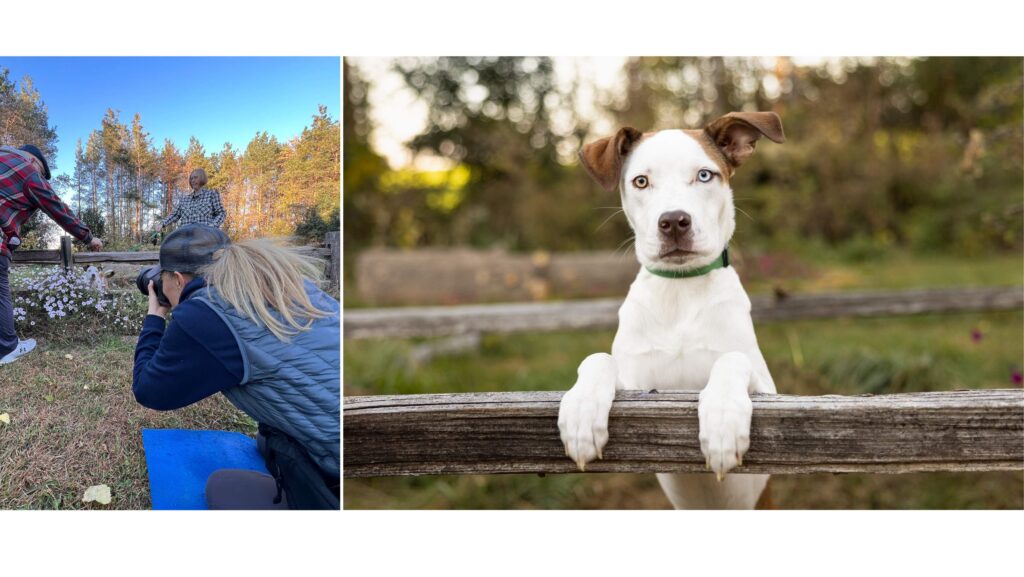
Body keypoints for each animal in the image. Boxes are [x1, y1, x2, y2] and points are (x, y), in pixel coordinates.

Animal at [561, 111, 782, 510]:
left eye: (705, 175)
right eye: (641, 181)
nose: (674, 221)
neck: (680, 291)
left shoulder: (771, 394)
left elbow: (732, 359)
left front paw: (723, 417)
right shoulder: (640, 391)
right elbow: (598, 358)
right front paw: (582, 410)